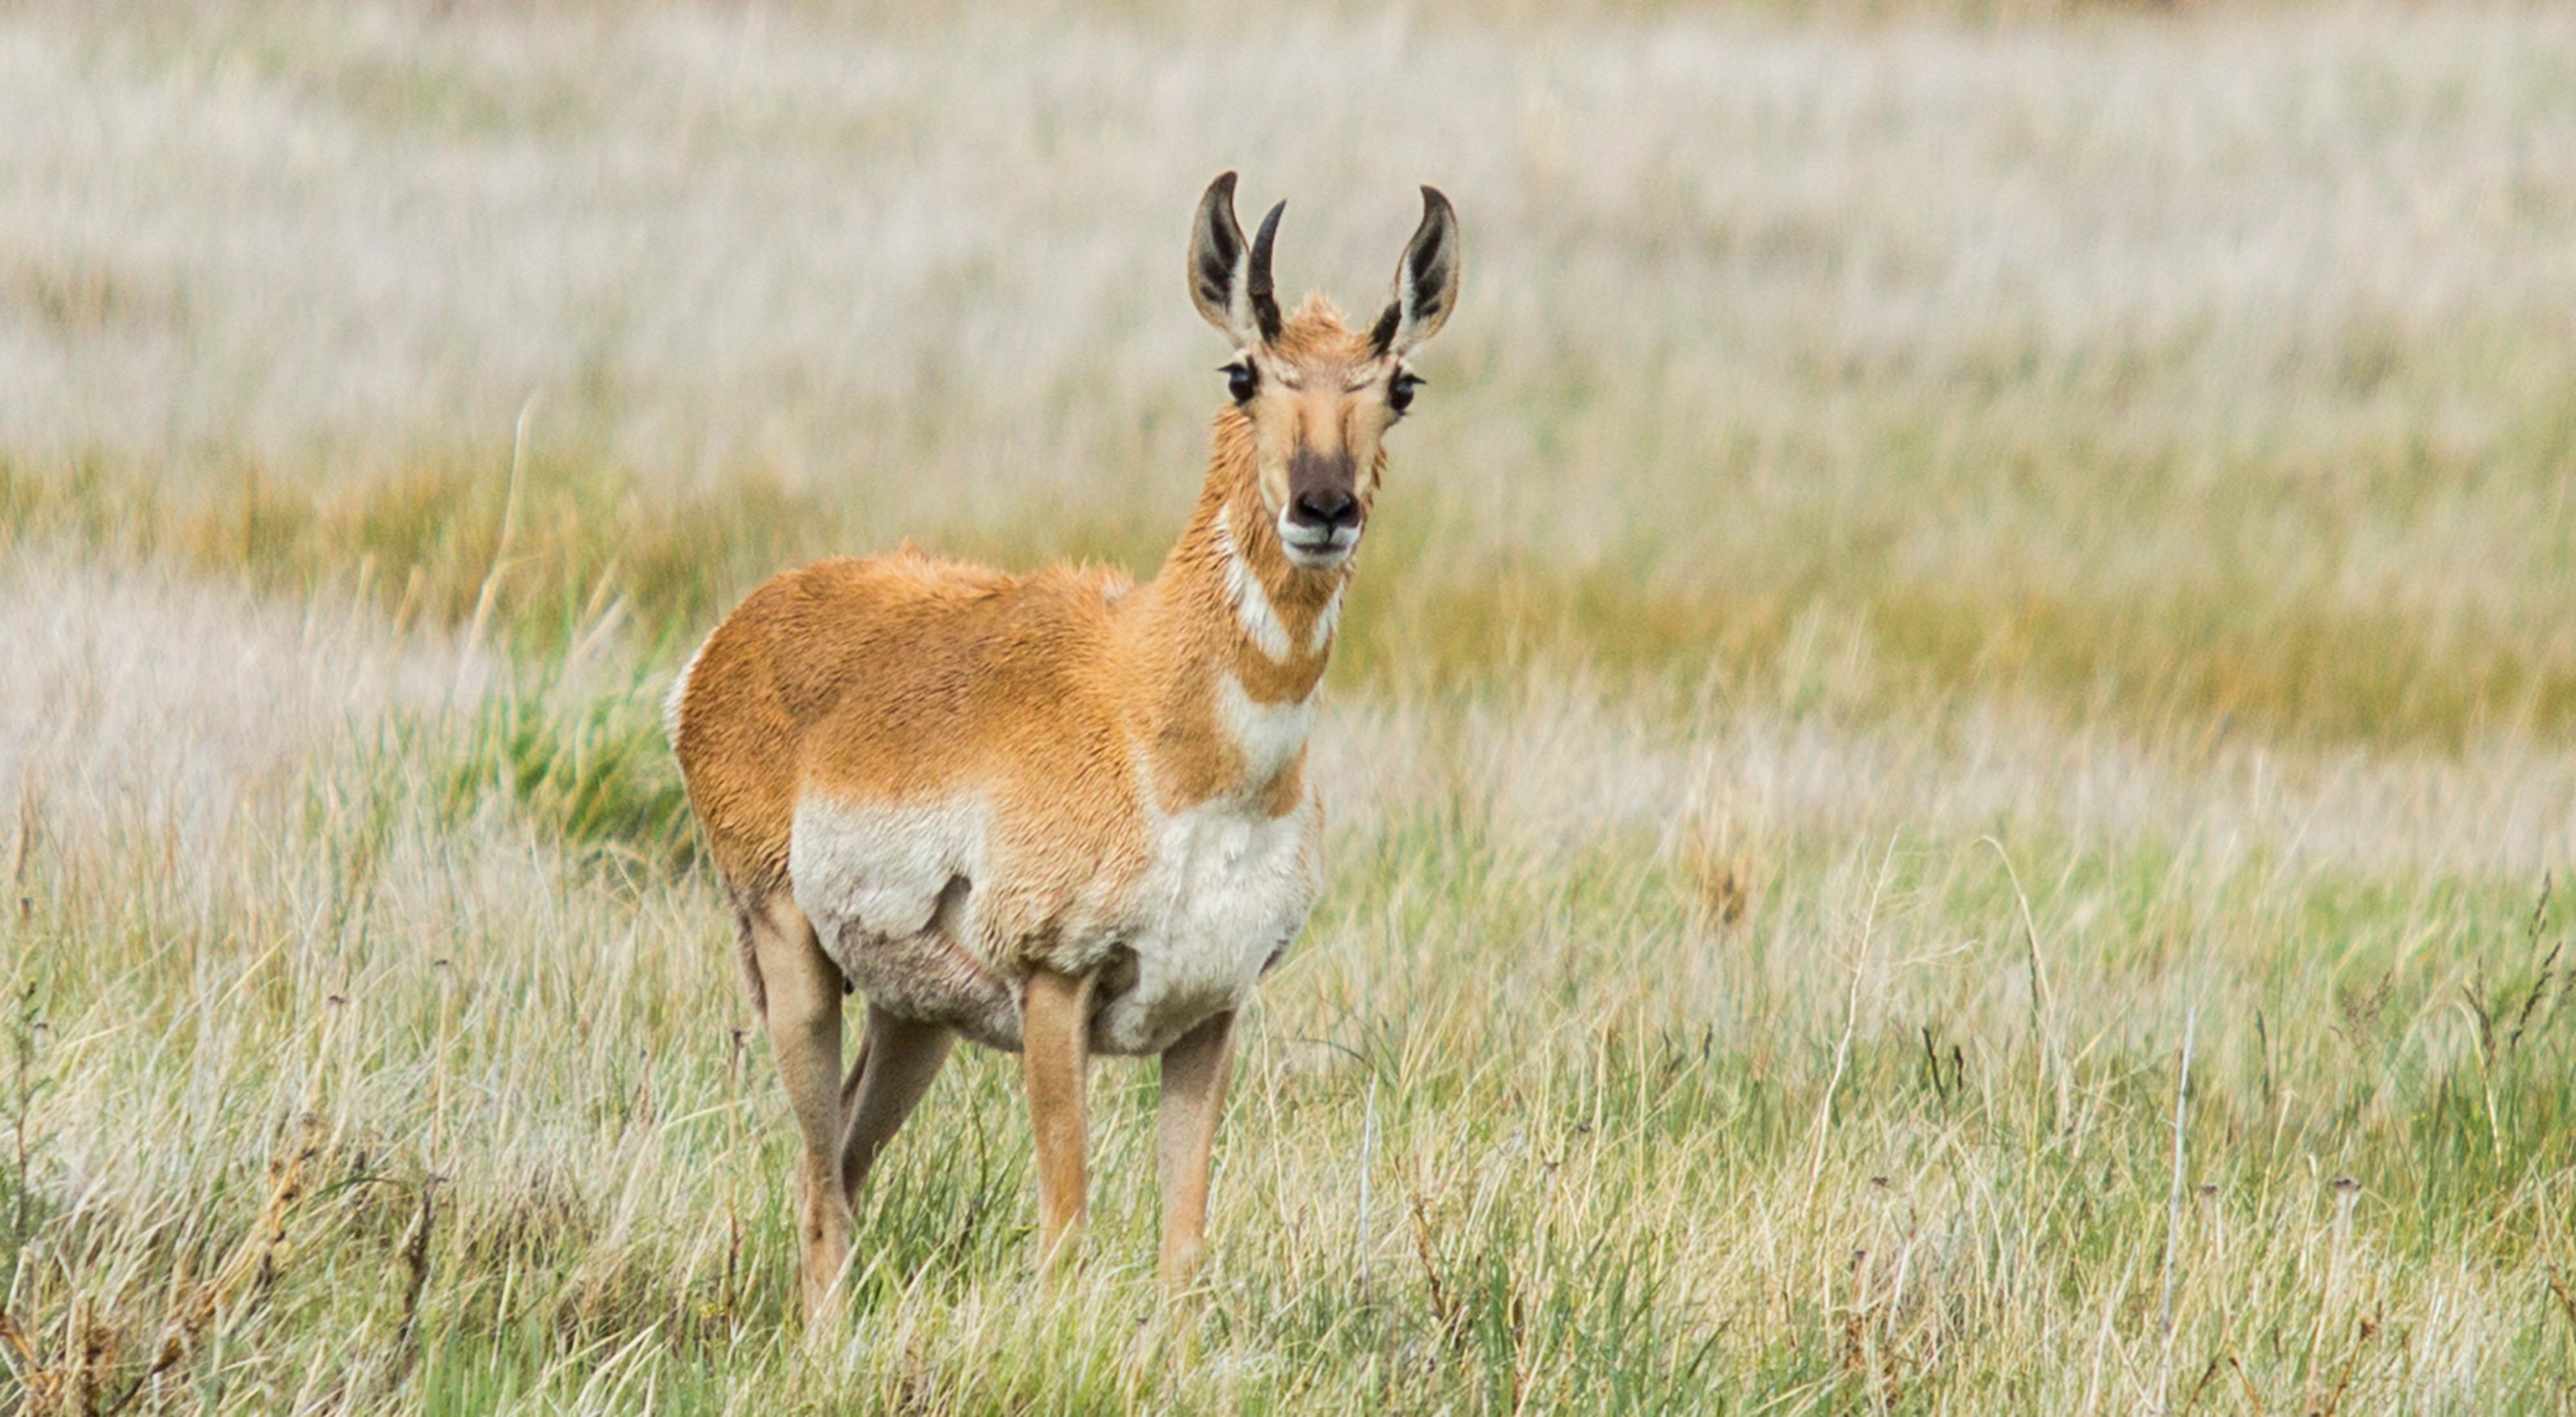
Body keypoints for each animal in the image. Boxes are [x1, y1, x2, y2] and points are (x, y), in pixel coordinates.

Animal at [675, 175, 1463, 1319]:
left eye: (1400, 385)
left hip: (917, 1017)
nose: (1325, 507)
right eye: (1243, 372)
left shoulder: (1212, 1011)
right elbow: (1065, 1229)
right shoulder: (1056, 986)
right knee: (822, 1197)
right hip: (792, 957)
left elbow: (1184, 1249)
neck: (1157, 723)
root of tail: (742, 626)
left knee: (848, 1169)